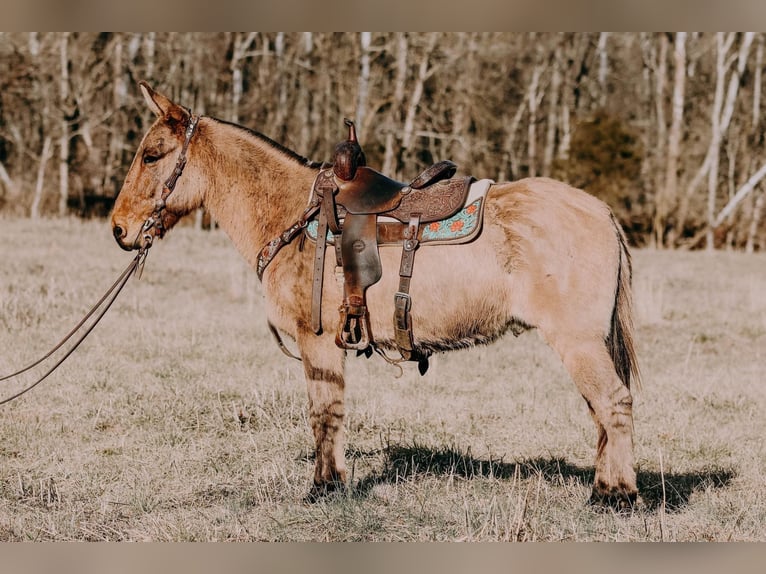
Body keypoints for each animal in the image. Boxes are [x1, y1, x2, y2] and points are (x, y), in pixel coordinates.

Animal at [112, 81, 640, 508]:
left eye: (152, 155)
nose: (119, 229)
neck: (295, 214)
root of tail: (602, 211)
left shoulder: (318, 341)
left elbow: (324, 412)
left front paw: (324, 487)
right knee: (600, 411)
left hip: (579, 342)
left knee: (614, 403)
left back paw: (617, 495)